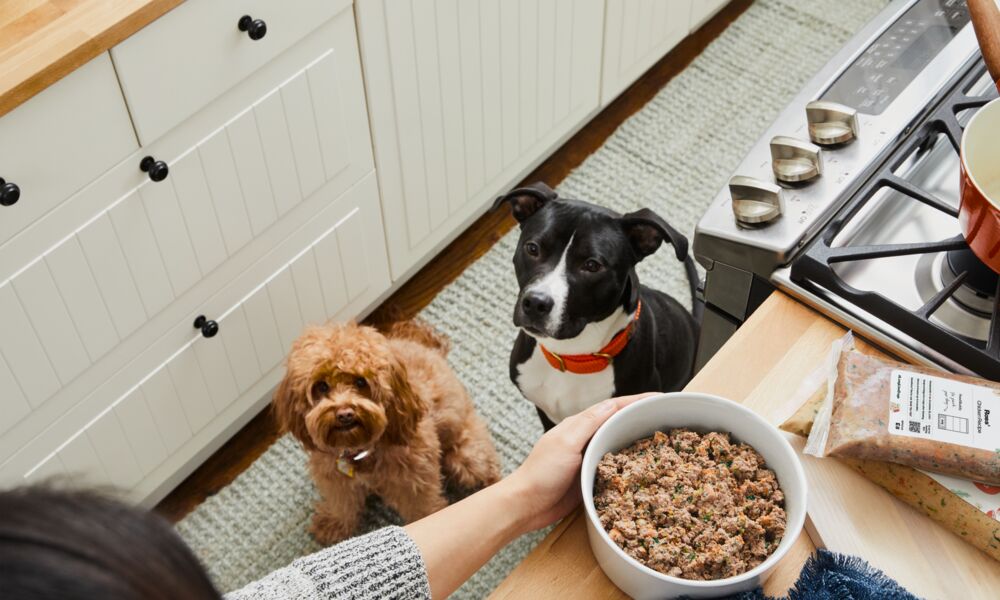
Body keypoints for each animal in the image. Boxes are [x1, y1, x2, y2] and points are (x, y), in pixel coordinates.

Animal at [272, 322, 500, 548]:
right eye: (321, 386)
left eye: (361, 382)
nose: (344, 414)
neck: (362, 451)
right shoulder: (334, 476)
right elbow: (341, 503)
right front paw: (333, 524)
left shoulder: (414, 481)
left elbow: (422, 509)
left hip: (468, 457)